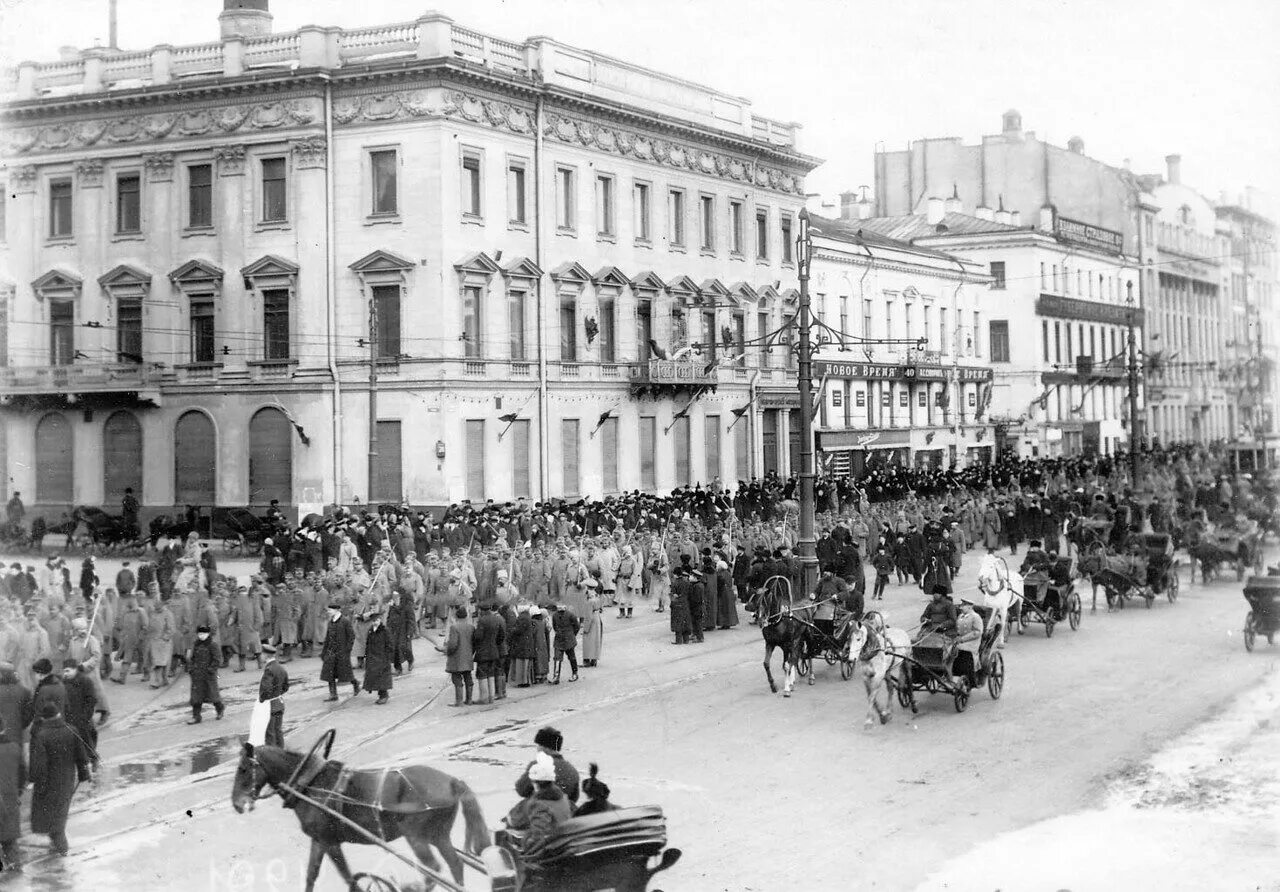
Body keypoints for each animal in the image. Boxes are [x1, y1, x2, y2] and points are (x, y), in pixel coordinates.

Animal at [230, 737, 488, 890]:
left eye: (243, 769)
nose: (236, 804)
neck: (311, 784)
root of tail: (452, 781)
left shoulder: (329, 841)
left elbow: (348, 877)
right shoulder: (319, 840)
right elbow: (311, 875)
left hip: (416, 837)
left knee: (433, 870)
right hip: (437, 835)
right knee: (455, 865)